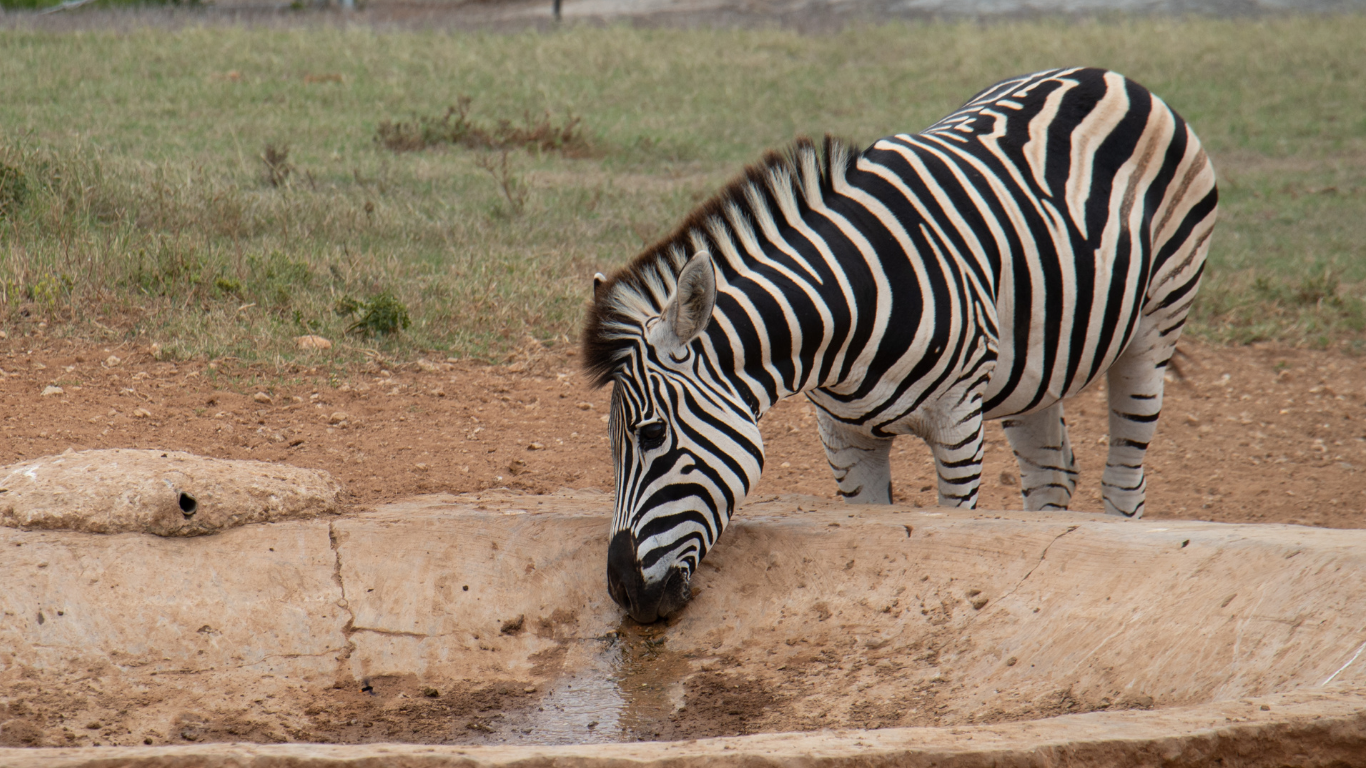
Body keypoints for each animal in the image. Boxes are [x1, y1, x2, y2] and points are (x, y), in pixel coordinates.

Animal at [581, 64, 1223, 614]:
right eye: (610, 442)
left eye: (652, 434)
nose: (622, 592)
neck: (843, 319)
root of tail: (1105, 74)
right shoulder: (843, 439)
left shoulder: (959, 427)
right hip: (1034, 368)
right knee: (1050, 473)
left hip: (1156, 326)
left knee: (1125, 476)